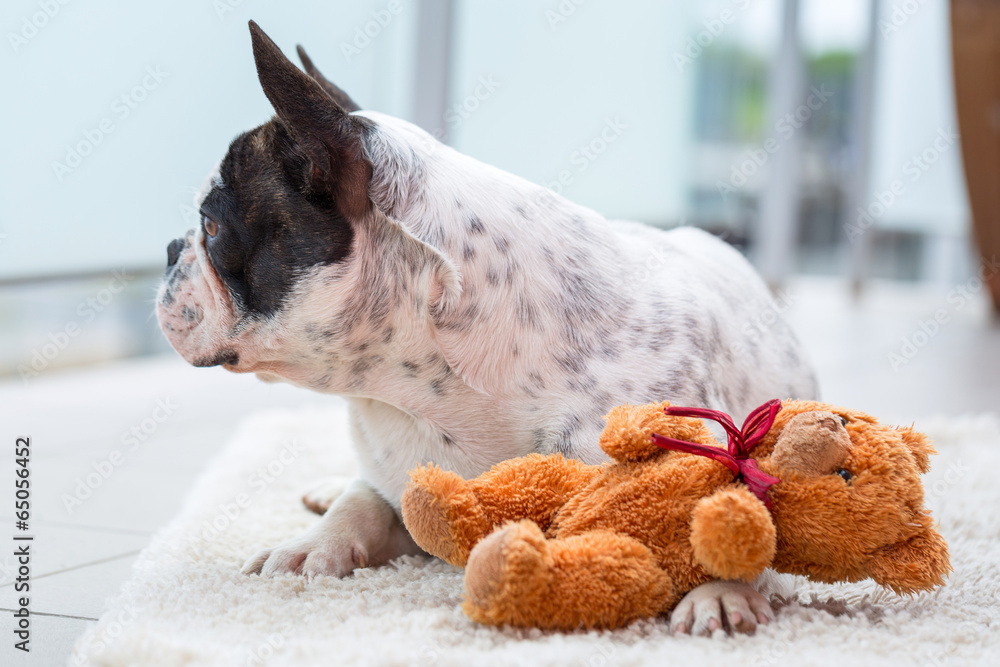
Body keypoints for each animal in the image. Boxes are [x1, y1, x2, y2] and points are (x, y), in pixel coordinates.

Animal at [154, 22, 812, 636]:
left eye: (211, 228)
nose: (169, 250)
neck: (428, 389)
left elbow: (737, 517)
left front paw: (720, 589)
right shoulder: (401, 480)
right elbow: (362, 498)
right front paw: (312, 543)